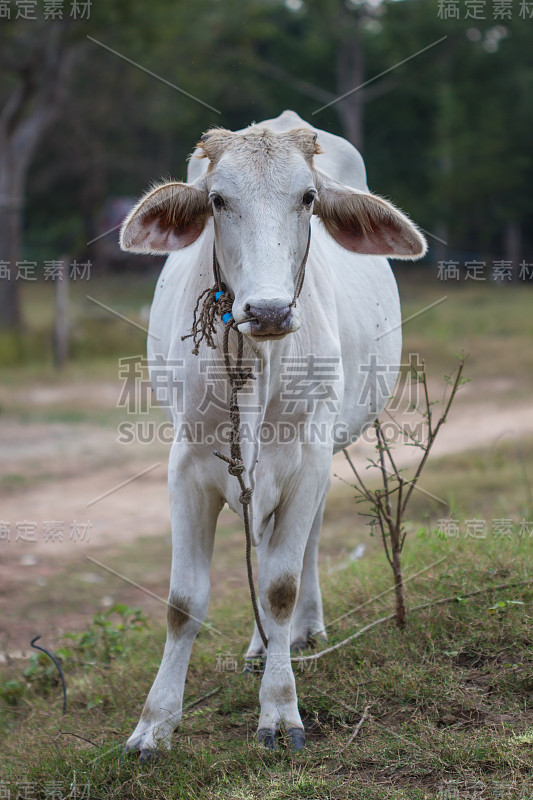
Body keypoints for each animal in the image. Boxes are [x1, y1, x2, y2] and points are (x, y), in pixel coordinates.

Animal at [119, 108, 424, 756]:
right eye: (217, 199)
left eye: (307, 198)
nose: (268, 311)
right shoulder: (187, 466)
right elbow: (183, 603)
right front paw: (154, 724)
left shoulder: (307, 458)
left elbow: (280, 587)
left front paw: (280, 711)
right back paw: (262, 647)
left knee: (300, 552)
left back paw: (301, 632)